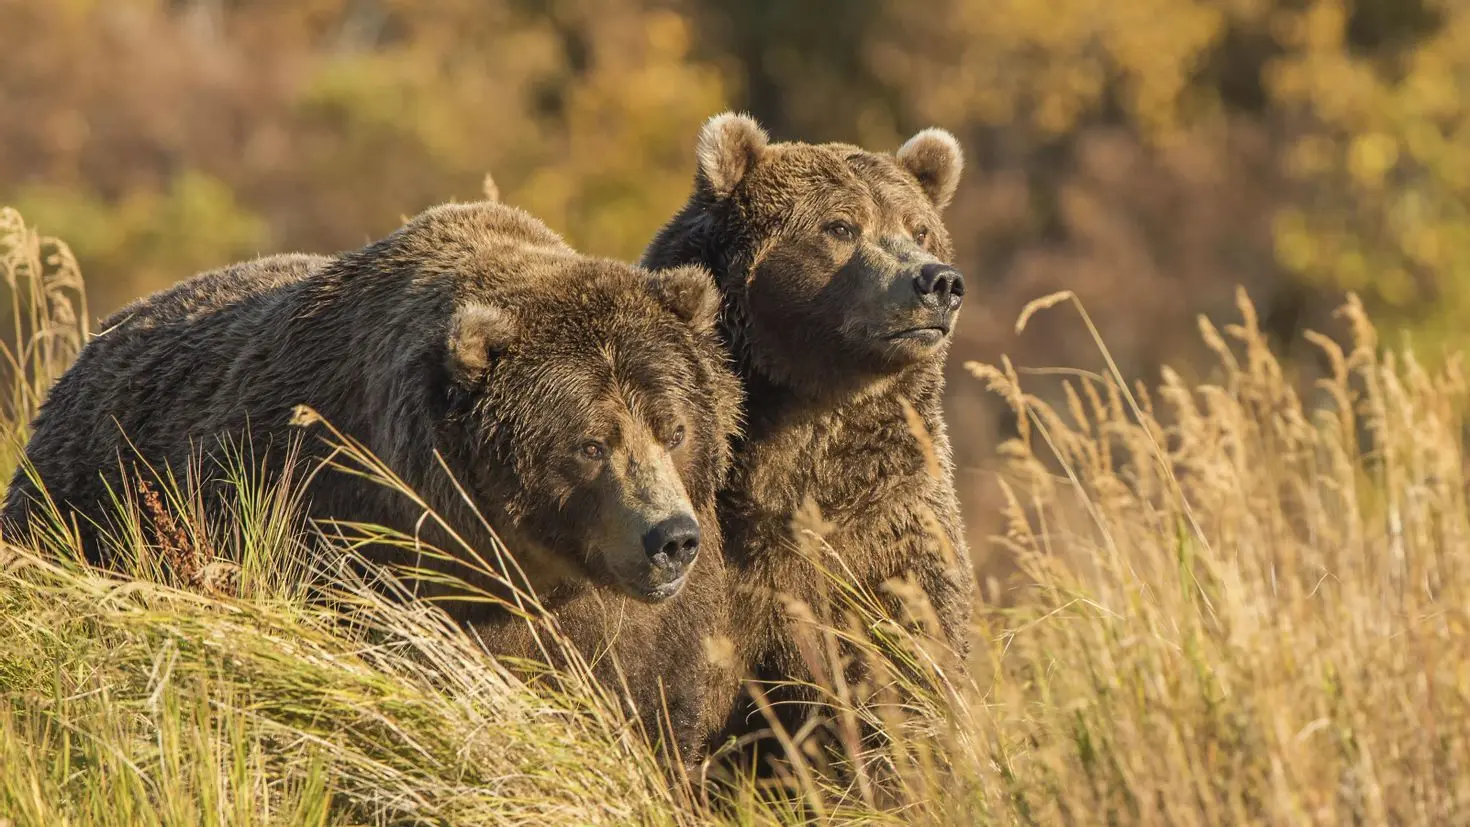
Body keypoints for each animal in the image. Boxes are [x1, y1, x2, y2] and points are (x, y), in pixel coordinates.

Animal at [3, 200, 744, 770]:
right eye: (590, 443)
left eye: (674, 428)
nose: (670, 537)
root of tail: (93, 342)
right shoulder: (350, 547)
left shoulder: (653, 627)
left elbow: (657, 710)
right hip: (81, 519)